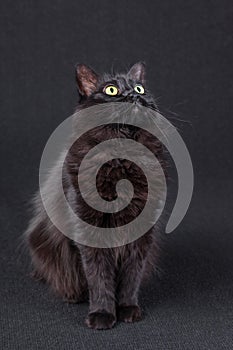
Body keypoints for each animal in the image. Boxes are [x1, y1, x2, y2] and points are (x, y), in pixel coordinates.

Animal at [26, 62, 166, 328]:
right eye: (111, 90)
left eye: (140, 88)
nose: (133, 96)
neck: (122, 158)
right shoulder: (88, 228)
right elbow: (99, 276)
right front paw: (102, 314)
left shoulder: (142, 232)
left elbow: (131, 276)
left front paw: (128, 309)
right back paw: (73, 296)